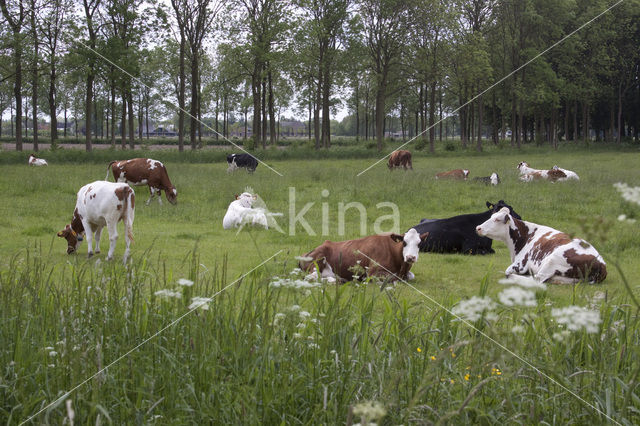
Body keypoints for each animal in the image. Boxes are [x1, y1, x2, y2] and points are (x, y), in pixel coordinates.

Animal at [298, 230, 430, 282]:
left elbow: (410, 276)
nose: (410, 257)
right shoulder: (372, 272)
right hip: (317, 260)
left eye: (419, 244)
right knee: (313, 277)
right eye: (404, 242)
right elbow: (392, 278)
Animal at [478, 206, 608, 282]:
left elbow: (507, 271)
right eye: (491, 216)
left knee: (537, 279)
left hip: (552, 260)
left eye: (497, 220)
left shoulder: (521, 264)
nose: (478, 227)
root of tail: (602, 264)